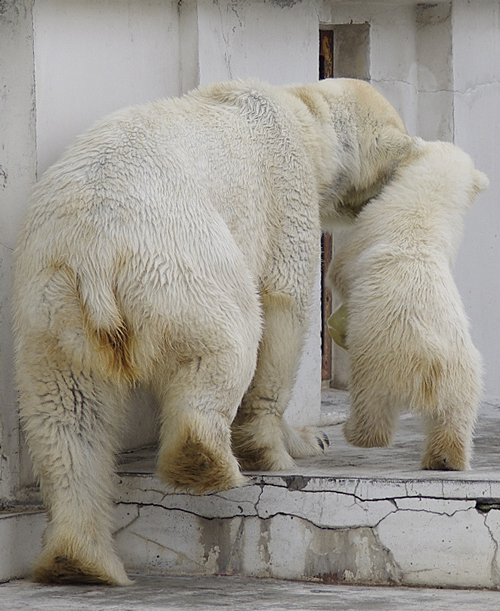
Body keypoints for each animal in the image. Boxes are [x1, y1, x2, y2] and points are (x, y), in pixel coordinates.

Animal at [13, 79, 412, 584]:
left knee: (69, 409)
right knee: (229, 338)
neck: (303, 116)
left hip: (52, 303)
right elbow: (283, 308)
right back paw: (204, 460)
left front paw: (310, 439)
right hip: (181, 265)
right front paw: (286, 447)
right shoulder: (286, 191)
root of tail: (95, 253)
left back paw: (80, 560)